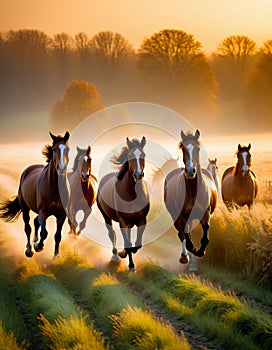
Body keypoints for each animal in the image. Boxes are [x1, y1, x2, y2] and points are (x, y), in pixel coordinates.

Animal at [96, 136, 150, 270]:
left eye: (144, 155)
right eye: (130, 155)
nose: (138, 174)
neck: (132, 194)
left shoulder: (142, 220)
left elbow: (137, 244)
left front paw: (127, 257)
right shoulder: (123, 222)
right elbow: (127, 243)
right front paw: (126, 259)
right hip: (106, 216)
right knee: (111, 233)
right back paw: (115, 255)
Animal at [164, 130, 217, 270]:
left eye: (198, 148)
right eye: (183, 149)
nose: (190, 171)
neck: (194, 191)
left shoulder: (205, 213)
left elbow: (205, 237)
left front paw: (200, 251)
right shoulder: (183, 216)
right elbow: (187, 238)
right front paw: (190, 252)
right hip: (176, 216)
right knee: (182, 234)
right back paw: (184, 256)